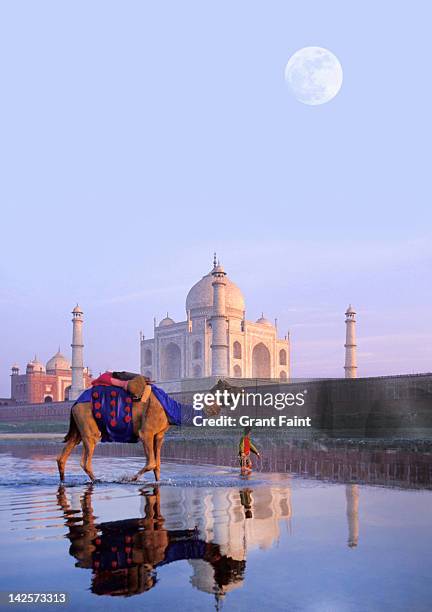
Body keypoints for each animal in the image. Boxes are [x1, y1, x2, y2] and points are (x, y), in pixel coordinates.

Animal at [58, 372, 233, 482]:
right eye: (229, 389)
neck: (173, 408)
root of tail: (75, 402)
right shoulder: (146, 432)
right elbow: (151, 463)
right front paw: (131, 478)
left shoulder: (159, 434)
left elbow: (158, 466)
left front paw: (157, 482)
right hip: (87, 420)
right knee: (86, 459)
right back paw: (98, 480)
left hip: (78, 426)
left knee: (63, 456)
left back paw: (64, 481)